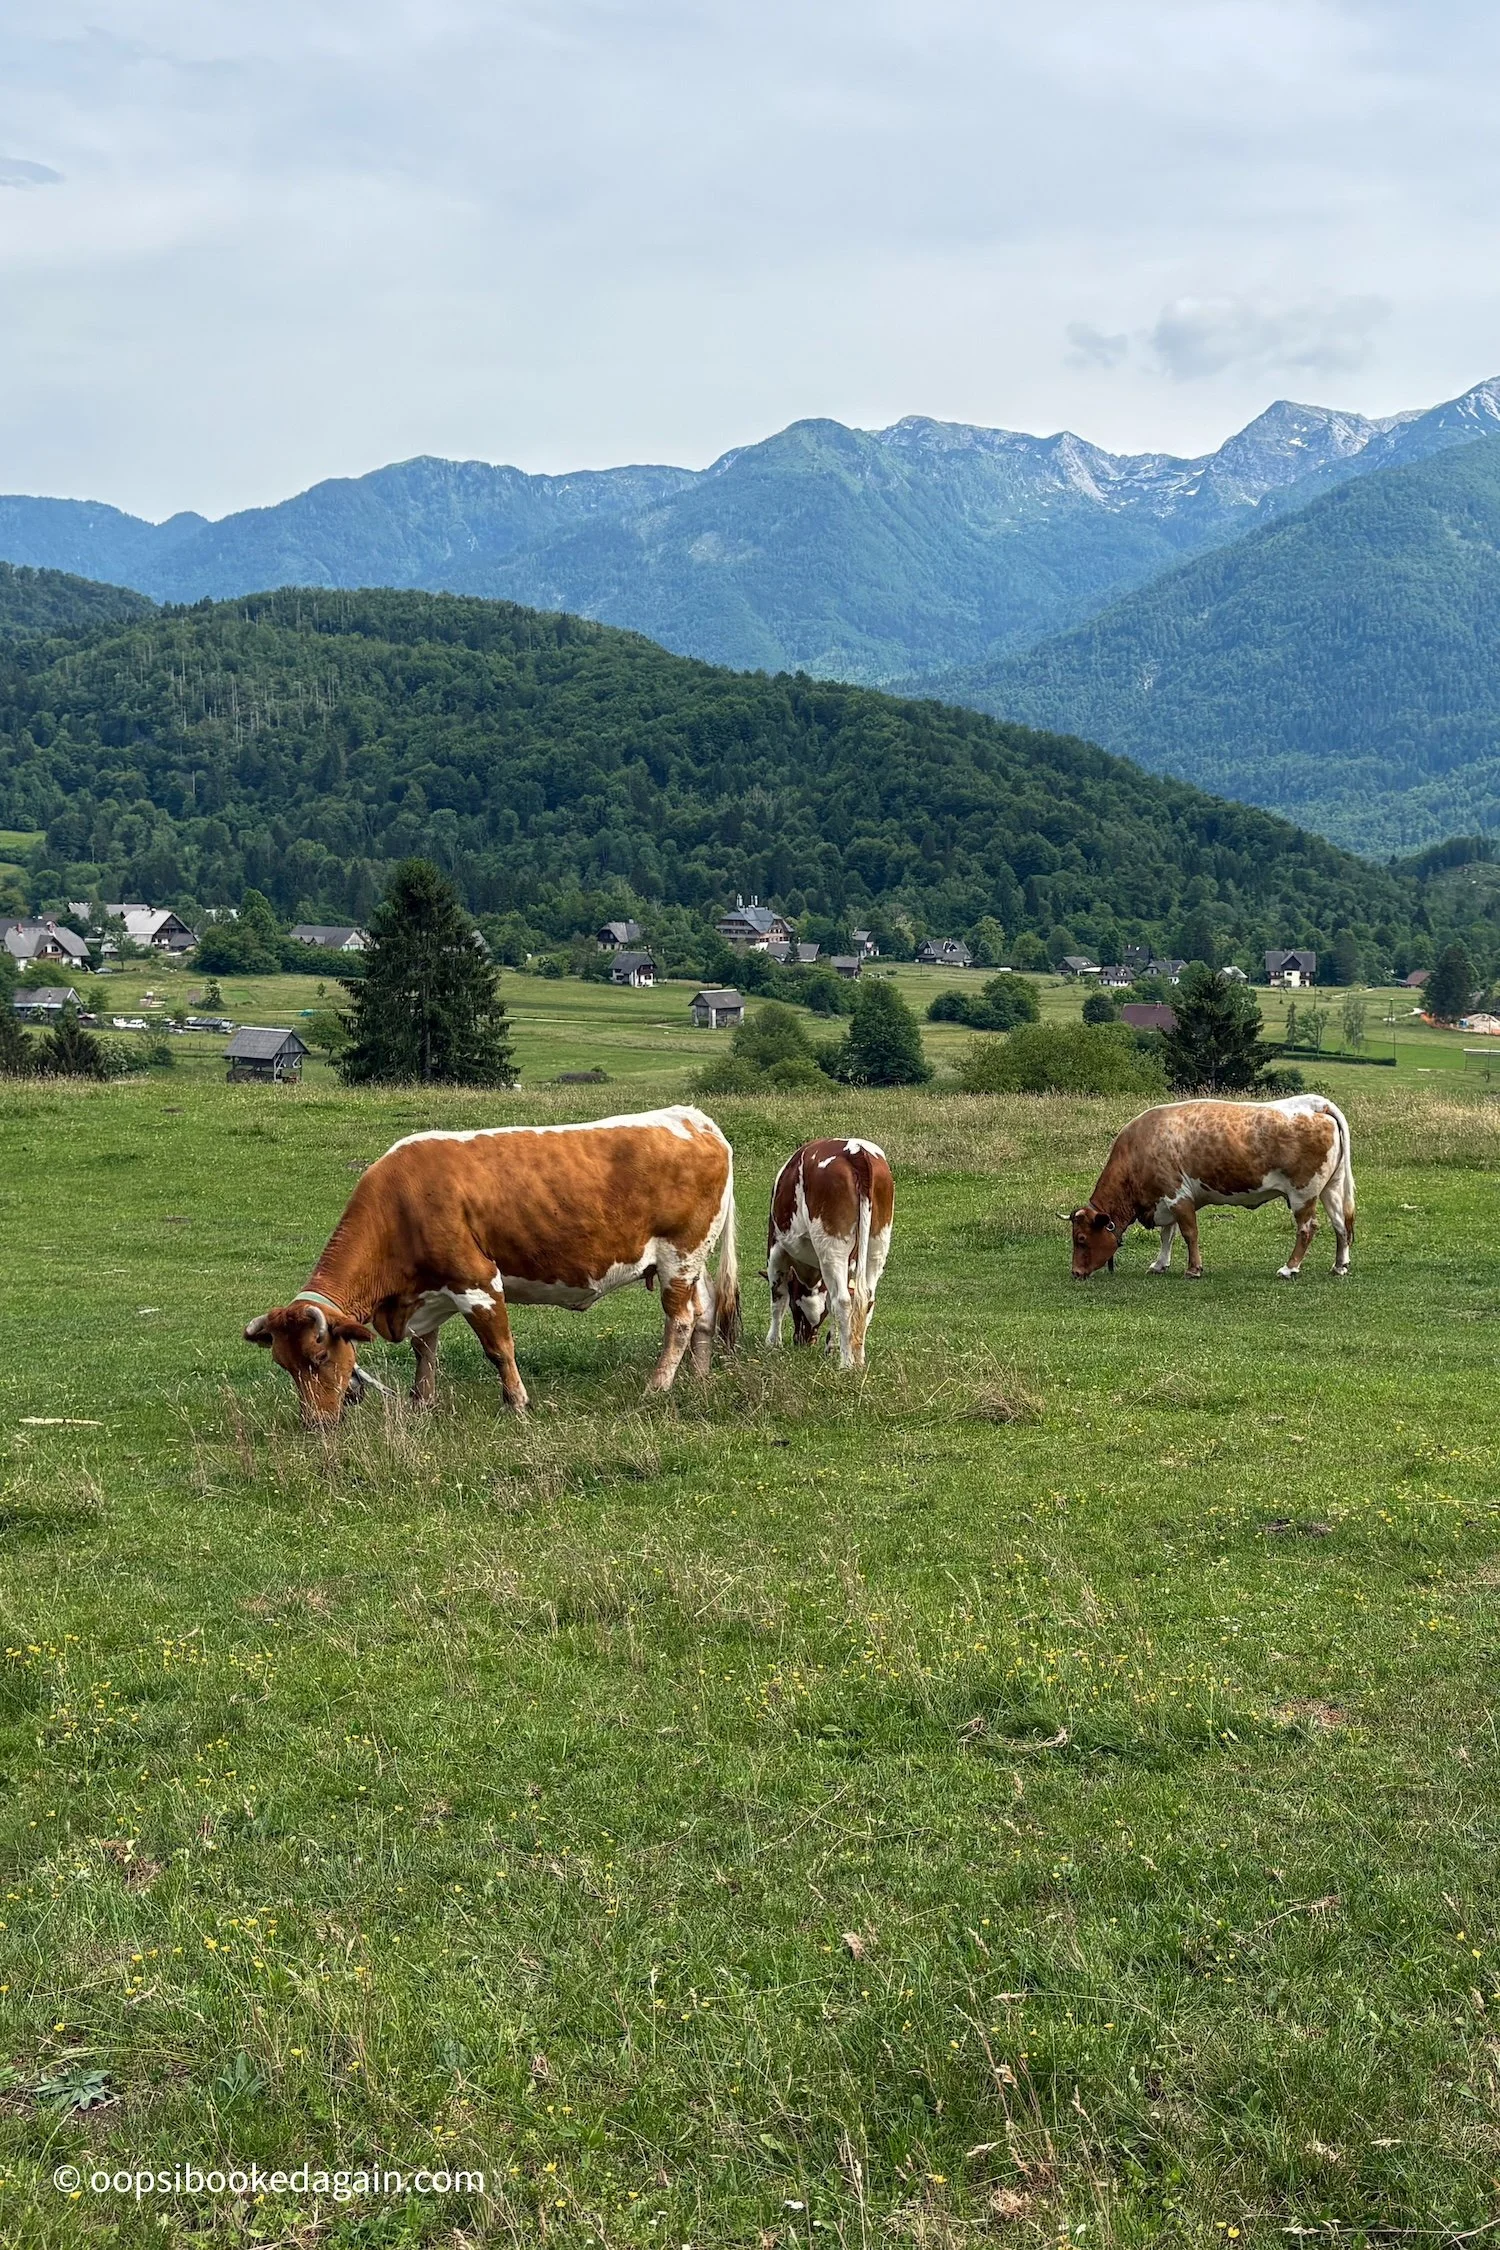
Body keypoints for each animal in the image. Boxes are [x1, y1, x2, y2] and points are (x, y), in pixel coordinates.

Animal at [244, 1105, 739, 1426]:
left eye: (320, 1356)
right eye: (284, 1364)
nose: (316, 1424)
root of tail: (696, 1119)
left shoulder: (477, 1281)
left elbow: (499, 1348)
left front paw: (517, 1403)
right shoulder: (426, 1294)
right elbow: (425, 1351)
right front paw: (422, 1403)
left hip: (680, 1254)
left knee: (679, 1320)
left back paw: (657, 1386)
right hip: (691, 1260)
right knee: (704, 1312)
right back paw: (698, 1380)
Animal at [765, 1138, 894, 1369]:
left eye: (795, 1308)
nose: (802, 1340)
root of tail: (854, 1150)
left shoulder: (775, 1248)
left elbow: (778, 1298)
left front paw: (773, 1343)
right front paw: (832, 1347)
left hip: (831, 1246)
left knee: (843, 1301)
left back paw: (846, 1364)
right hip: (877, 1245)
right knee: (865, 1299)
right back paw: (858, 1359)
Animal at [1068, 1094, 1355, 1283]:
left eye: (1080, 1239)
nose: (1076, 1272)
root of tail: (1316, 1103)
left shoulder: (1177, 1196)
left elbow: (1188, 1233)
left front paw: (1193, 1269)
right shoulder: (1163, 1199)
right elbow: (1167, 1235)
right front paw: (1160, 1264)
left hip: (1302, 1193)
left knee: (1307, 1229)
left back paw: (1289, 1268)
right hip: (1330, 1188)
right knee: (1340, 1225)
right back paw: (1339, 1266)